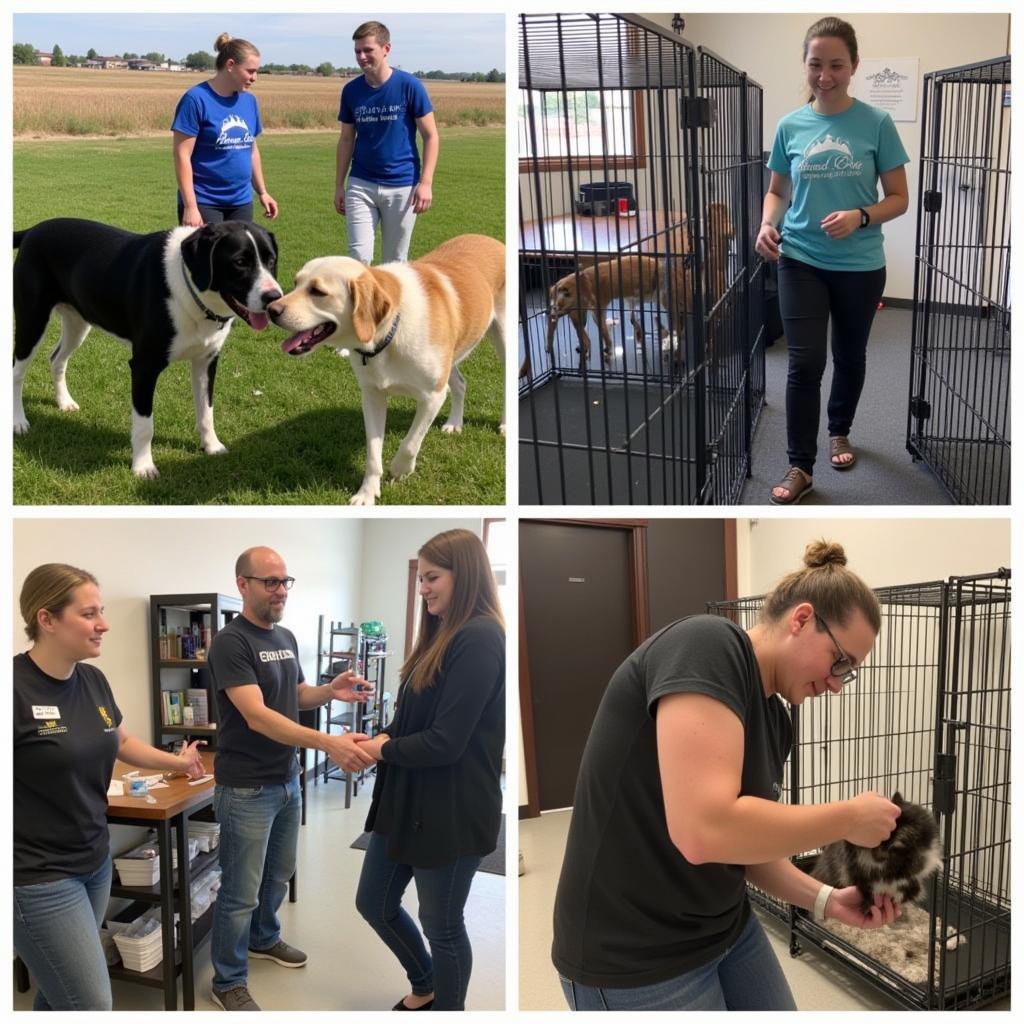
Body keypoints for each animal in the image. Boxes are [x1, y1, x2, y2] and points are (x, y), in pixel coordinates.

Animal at [12, 217, 284, 479]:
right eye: (239, 262)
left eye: (271, 260)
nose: (274, 298)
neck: (189, 288)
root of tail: (34, 230)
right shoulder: (144, 366)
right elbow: (145, 425)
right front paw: (143, 467)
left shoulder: (206, 361)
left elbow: (206, 411)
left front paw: (212, 446)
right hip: (32, 321)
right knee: (17, 371)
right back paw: (18, 421)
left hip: (77, 322)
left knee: (57, 359)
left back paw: (64, 402)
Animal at [266, 232, 501, 503]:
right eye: (296, 283)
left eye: (317, 291)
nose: (271, 309)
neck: (390, 332)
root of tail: (488, 238)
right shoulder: (372, 395)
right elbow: (372, 454)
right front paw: (367, 493)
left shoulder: (433, 396)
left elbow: (410, 443)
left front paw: (400, 469)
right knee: (461, 384)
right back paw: (455, 423)